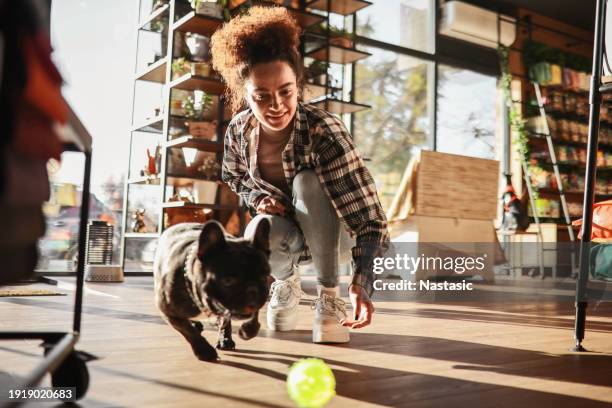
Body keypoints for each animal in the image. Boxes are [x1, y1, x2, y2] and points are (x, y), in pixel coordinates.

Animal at [153, 220, 270, 360]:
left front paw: (246, 331)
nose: (252, 289)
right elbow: (188, 330)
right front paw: (204, 350)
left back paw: (225, 339)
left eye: (265, 278)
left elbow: (247, 319)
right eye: (227, 281)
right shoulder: (169, 312)